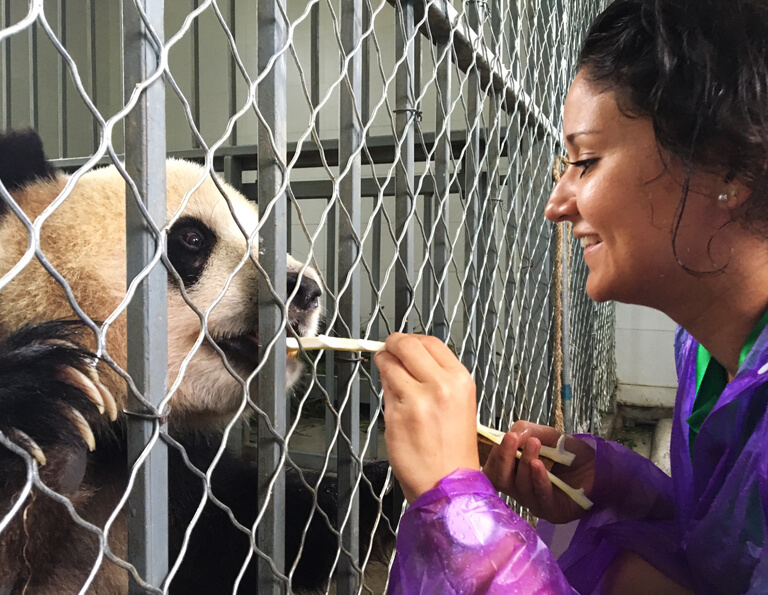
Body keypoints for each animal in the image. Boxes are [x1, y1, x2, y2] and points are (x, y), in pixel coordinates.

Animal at [0, 130, 392, 595]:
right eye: (192, 238)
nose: (307, 291)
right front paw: (47, 395)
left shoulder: (186, 482)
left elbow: (261, 531)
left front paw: (386, 486)